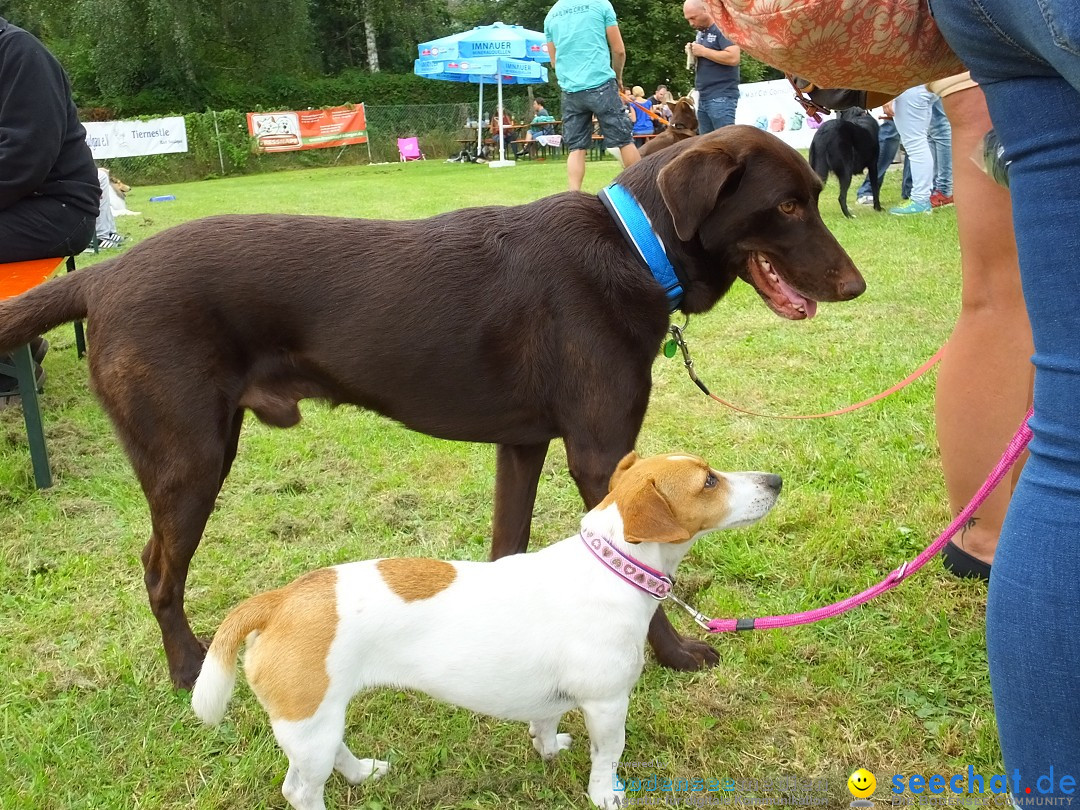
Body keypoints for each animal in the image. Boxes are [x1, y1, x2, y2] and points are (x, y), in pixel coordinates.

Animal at [0, 128, 864, 691]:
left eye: (814, 198)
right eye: (788, 206)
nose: (855, 285)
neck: (634, 246)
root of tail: (101, 276)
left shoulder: (524, 445)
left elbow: (510, 544)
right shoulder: (600, 456)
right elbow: (638, 579)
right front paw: (676, 656)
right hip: (191, 457)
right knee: (157, 568)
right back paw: (187, 669)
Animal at [194, 453, 781, 810]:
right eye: (708, 481)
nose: (776, 479)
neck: (613, 566)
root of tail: (278, 600)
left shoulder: (552, 697)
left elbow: (545, 722)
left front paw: (548, 747)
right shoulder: (609, 703)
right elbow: (607, 757)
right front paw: (606, 793)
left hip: (322, 716)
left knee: (334, 754)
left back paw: (362, 772)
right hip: (307, 723)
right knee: (299, 788)